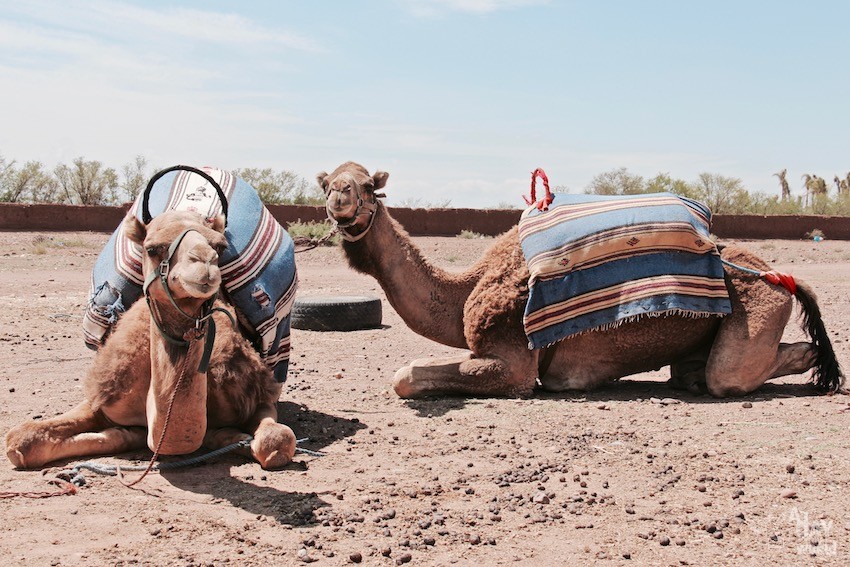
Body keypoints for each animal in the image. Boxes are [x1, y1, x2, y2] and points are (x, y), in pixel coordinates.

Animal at [5, 211, 294, 468]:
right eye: (153, 248)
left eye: (220, 247)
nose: (204, 262)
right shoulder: (103, 399)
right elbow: (21, 440)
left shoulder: (259, 397)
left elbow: (277, 440)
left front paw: (235, 438)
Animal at [316, 160, 840, 400]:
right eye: (327, 182)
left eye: (368, 185)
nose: (339, 196)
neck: (465, 287)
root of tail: (782, 277)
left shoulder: (514, 363)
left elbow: (406, 376)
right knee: (693, 371)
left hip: (757, 310)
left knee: (731, 373)